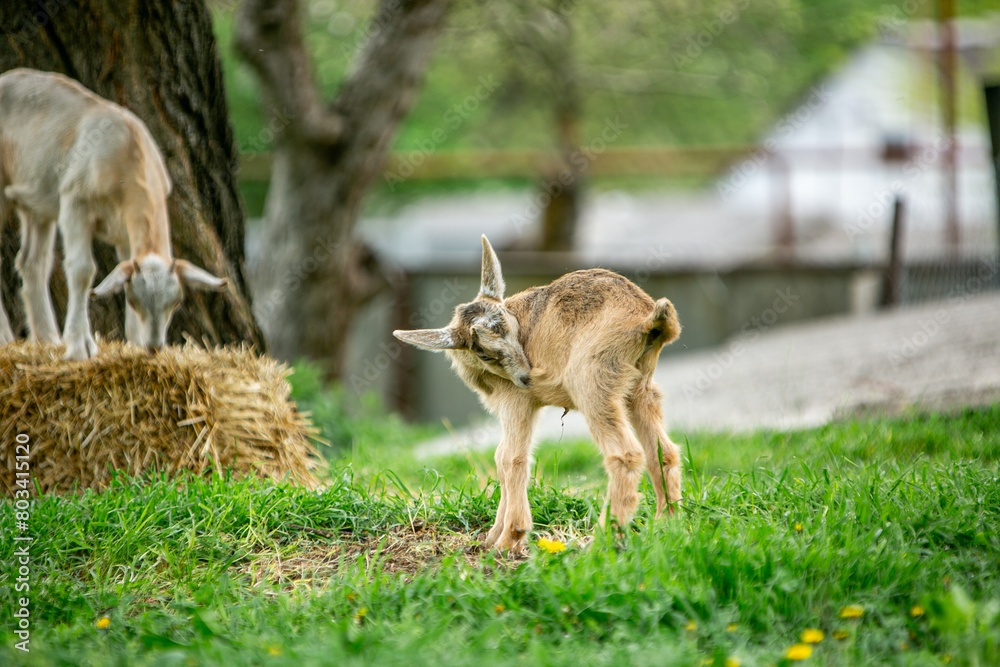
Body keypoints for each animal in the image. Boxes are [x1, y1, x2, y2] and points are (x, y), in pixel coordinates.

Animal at [0, 68, 227, 360]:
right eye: (133, 300)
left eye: (176, 303)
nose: (154, 346)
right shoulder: (74, 202)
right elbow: (82, 270)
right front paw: (80, 347)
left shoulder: (124, 229)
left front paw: (134, 343)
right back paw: (7, 337)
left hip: (36, 198)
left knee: (32, 262)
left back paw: (48, 339)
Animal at [394, 236, 683, 553]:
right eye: (483, 352)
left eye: (514, 328)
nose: (527, 377)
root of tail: (648, 319)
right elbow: (500, 456)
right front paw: (492, 537)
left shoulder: (517, 402)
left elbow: (511, 458)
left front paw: (509, 538)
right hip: (639, 388)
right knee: (663, 451)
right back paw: (665, 525)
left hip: (592, 385)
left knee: (626, 455)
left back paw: (601, 540)